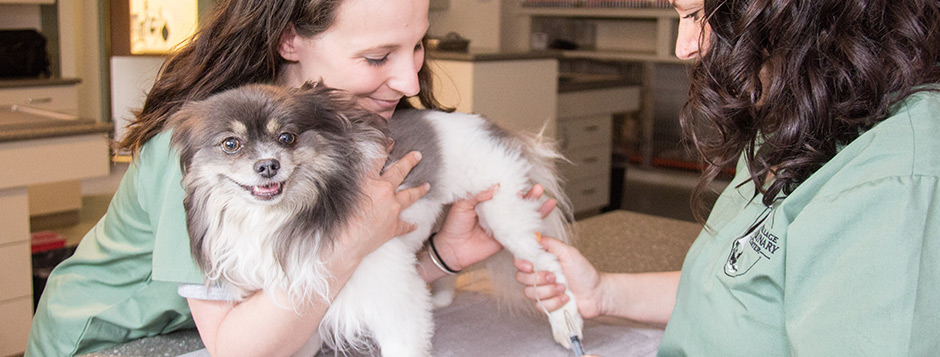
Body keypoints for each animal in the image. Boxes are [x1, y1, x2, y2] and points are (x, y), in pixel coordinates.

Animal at [168, 84, 580, 356]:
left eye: (287, 138)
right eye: (230, 144)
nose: (267, 165)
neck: (286, 216)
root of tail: (495, 127)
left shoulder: (391, 289)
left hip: (503, 215)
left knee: (547, 263)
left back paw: (566, 326)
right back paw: (443, 297)